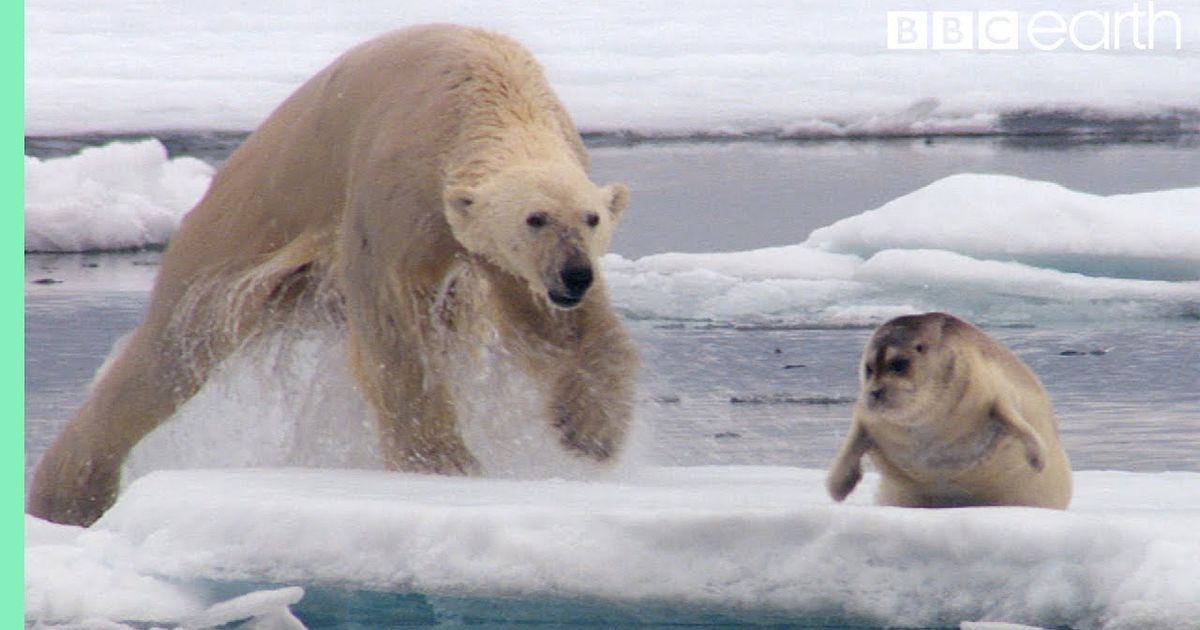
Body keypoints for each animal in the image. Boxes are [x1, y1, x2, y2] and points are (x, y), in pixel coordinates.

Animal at [28, 24, 643, 525]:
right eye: (535, 218)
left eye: (590, 218)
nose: (575, 275)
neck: (487, 91)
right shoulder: (397, 183)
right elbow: (395, 326)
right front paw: (444, 463)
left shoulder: (504, 253)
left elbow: (559, 328)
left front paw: (591, 432)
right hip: (245, 223)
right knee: (172, 350)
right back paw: (68, 494)